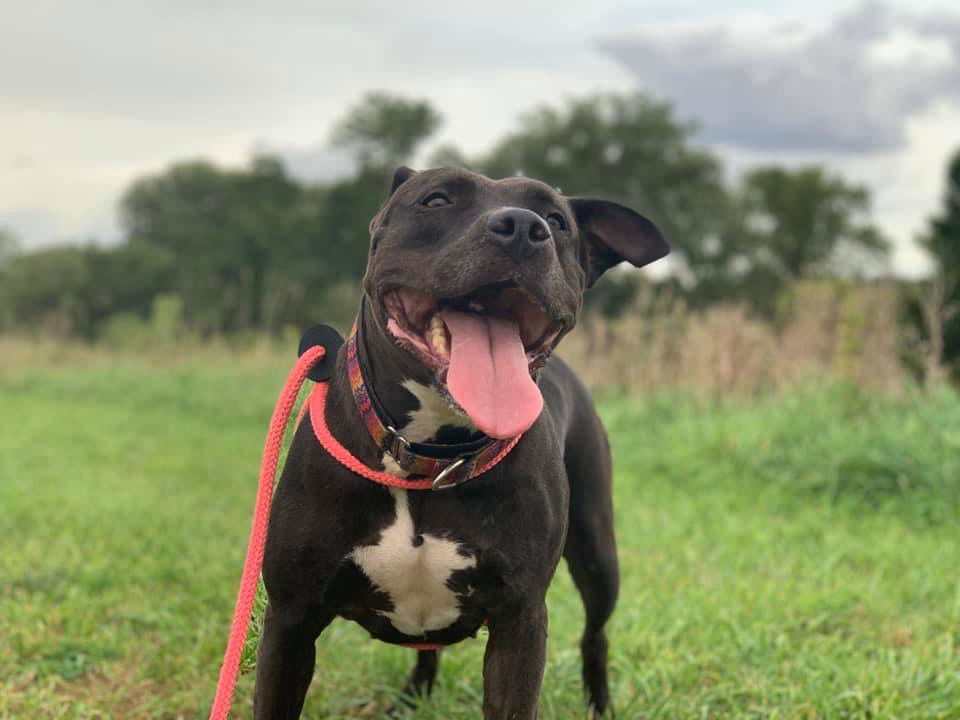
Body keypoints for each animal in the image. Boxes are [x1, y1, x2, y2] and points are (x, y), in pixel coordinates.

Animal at [253, 166, 668, 716]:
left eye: (557, 220)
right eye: (436, 200)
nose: (524, 228)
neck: (426, 458)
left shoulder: (520, 620)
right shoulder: (291, 618)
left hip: (598, 552)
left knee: (594, 634)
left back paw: (598, 703)